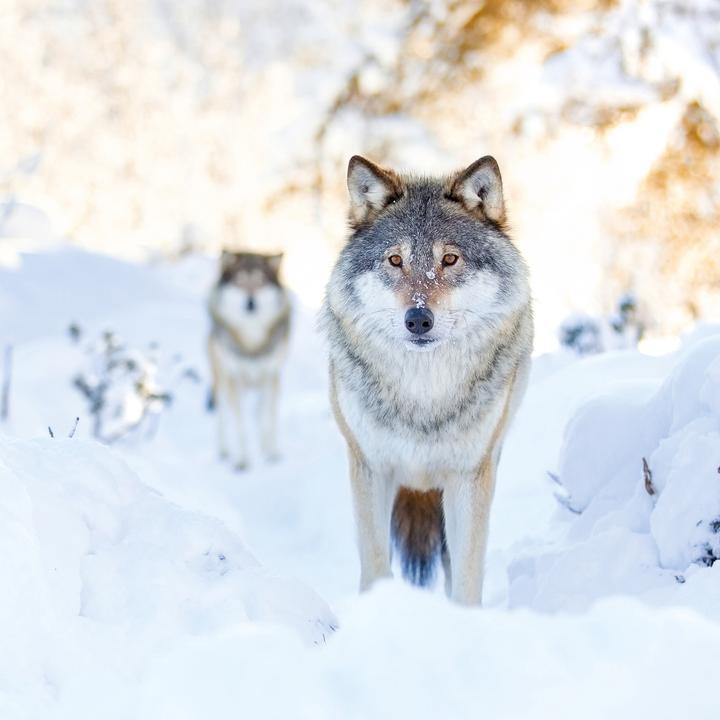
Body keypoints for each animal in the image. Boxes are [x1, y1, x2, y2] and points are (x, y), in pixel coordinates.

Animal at [208, 250, 290, 470]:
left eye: (260, 282)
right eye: (240, 282)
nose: (251, 303)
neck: (252, 342)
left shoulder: (272, 376)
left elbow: (267, 418)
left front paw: (271, 453)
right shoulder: (234, 378)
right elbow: (240, 422)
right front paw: (242, 460)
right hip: (221, 380)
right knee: (223, 415)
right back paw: (224, 450)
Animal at [323, 155, 533, 605]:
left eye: (449, 260)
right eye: (395, 260)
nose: (418, 319)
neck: (423, 395)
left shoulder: (470, 475)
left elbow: (467, 576)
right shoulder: (370, 467)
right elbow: (376, 565)